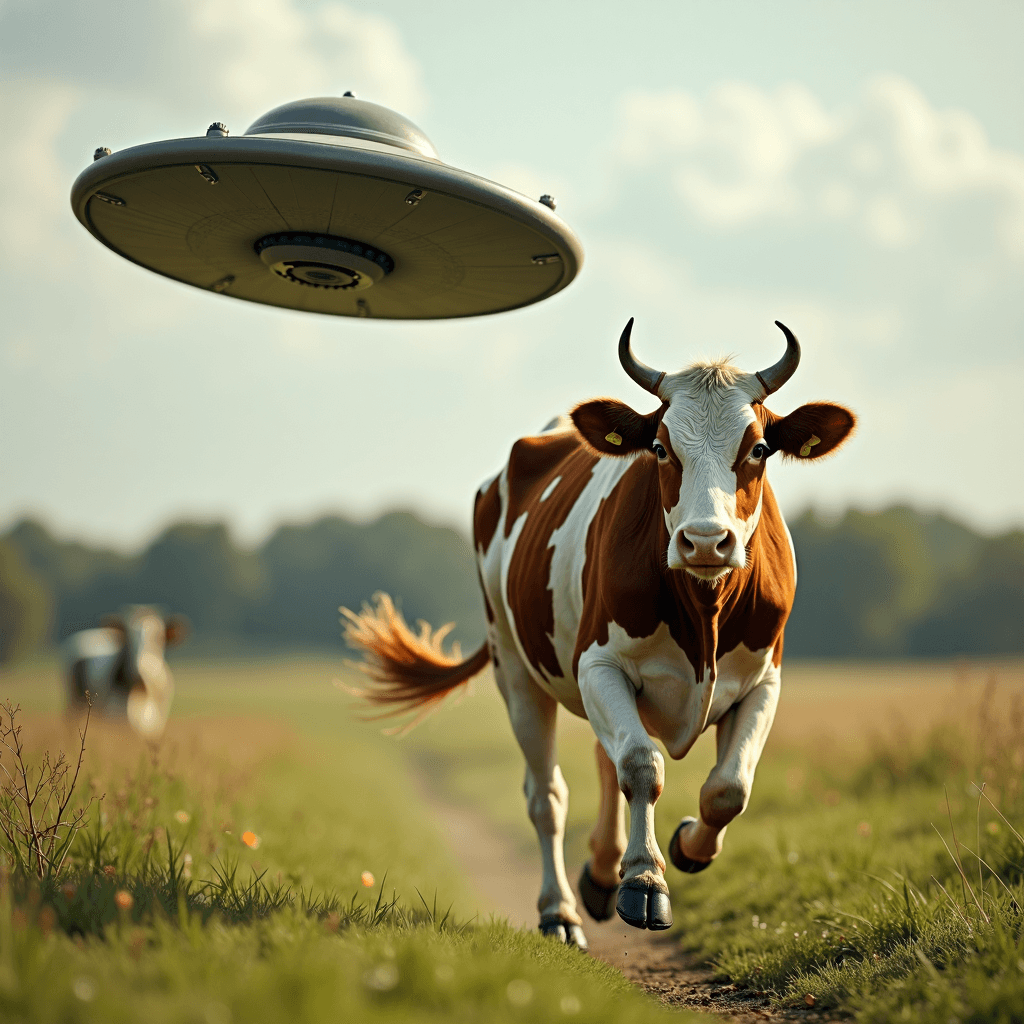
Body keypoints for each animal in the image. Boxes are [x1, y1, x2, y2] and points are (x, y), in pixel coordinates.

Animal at [63, 605, 189, 740]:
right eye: (128, 639)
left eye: (159, 638)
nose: (140, 672)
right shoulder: (117, 715)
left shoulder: (156, 722)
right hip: (75, 702)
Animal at [342, 319, 856, 950]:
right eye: (660, 448)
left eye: (758, 448)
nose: (705, 541)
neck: (702, 614)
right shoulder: (599, 666)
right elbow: (641, 764)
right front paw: (645, 882)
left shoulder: (763, 680)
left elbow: (727, 788)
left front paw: (685, 848)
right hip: (515, 670)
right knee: (548, 797)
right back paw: (560, 910)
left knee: (605, 763)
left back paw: (601, 872)